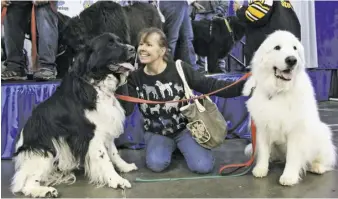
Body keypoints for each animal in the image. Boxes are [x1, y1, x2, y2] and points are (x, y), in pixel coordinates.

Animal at [10, 33, 137, 197]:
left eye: (119, 41)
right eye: (110, 44)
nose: (133, 48)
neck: (96, 85)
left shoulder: (105, 127)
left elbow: (114, 153)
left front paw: (125, 167)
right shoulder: (92, 134)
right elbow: (105, 159)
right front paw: (116, 180)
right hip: (46, 151)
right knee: (26, 185)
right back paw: (46, 191)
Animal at [243, 30, 336, 186]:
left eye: (294, 48)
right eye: (277, 47)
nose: (292, 60)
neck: (280, 91)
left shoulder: (296, 130)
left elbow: (293, 156)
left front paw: (289, 177)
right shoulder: (262, 127)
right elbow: (263, 151)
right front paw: (261, 169)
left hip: (321, 133)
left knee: (326, 159)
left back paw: (317, 167)